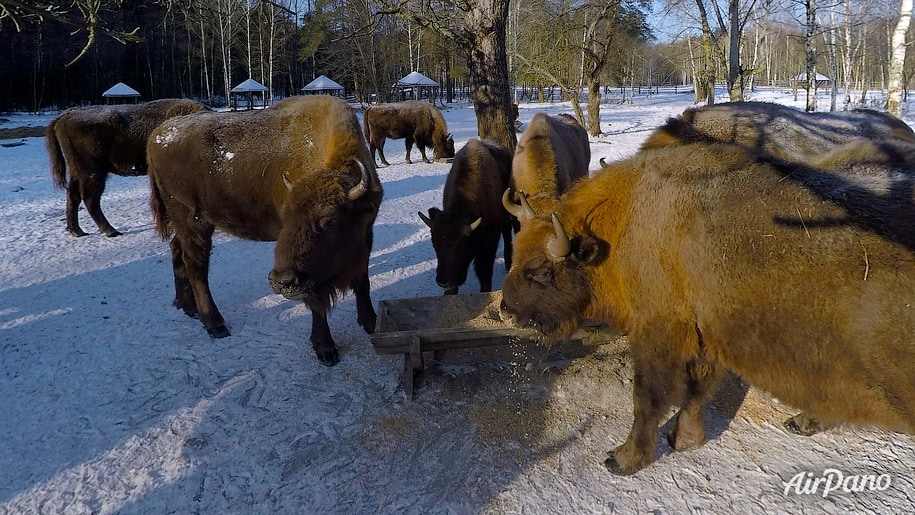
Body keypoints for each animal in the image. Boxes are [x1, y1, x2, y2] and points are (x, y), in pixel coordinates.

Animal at [46, 99, 206, 238]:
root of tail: (64, 116)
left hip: (77, 172)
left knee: (73, 196)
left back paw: (77, 231)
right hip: (93, 173)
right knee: (90, 199)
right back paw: (111, 231)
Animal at [148, 97, 384, 366]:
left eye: (329, 220)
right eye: (285, 218)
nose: (281, 281)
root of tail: (157, 135)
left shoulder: (365, 237)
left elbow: (362, 281)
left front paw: (371, 322)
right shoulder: (312, 276)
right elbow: (317, 303)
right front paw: (325, 349)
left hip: (184, 224)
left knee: (177, 253)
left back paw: (187, 307)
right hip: (194, 223)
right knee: (196, 268)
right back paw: (215, 325)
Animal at [500, 138, 915, 476]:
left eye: (541, 270)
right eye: (516, 253)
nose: (506, 309)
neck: (631, 218)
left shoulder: (660, 329)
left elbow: (647, 397)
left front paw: (623, 459)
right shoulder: (704, 334)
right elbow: (697, 390)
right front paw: (684, 440)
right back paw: (802, 421)